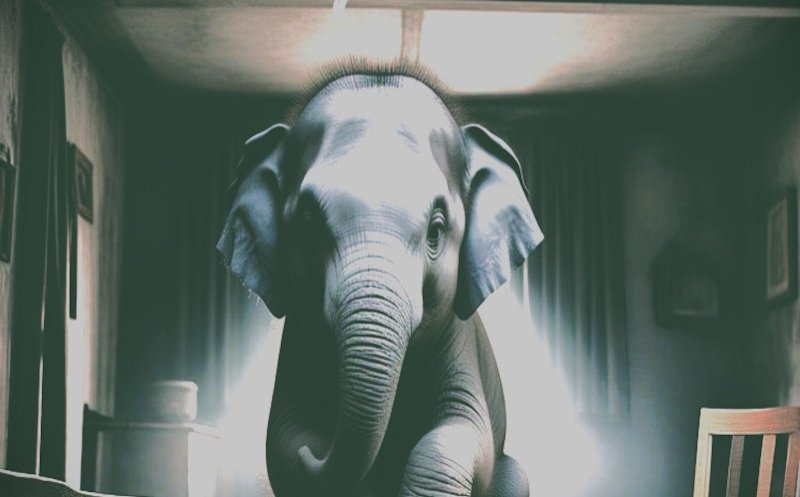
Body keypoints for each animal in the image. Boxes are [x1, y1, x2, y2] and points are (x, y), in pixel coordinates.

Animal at [217, 64, 543, 497]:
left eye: (436, 230)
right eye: (308, 225)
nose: (316, 455)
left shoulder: (459, 343)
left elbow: (462, 434)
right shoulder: (296, 346)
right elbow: (286, 440)